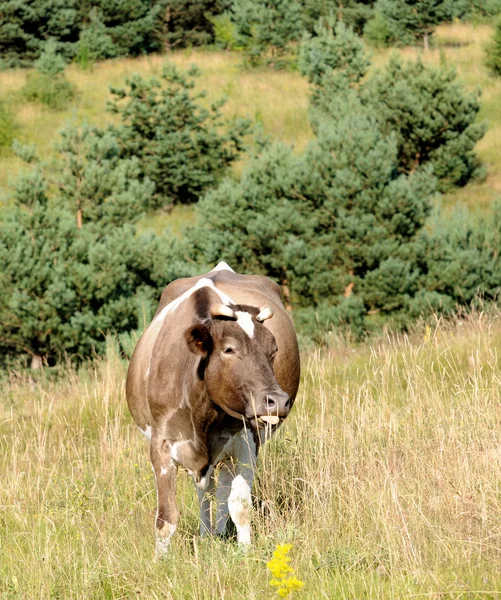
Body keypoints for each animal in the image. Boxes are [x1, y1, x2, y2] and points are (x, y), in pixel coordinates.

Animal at [125, 262, 298, 556]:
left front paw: (244, 555)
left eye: (273, 350)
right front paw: (160, 560)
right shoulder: (161, 445)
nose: (277, 400)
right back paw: (208, 535)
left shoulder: (246, 441)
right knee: (206, 492)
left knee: (220, 492)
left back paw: (215, 532)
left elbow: (240, 507)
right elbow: (166, 518)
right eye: (229, 349)